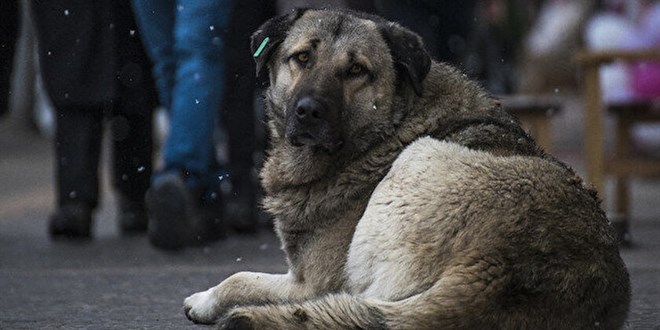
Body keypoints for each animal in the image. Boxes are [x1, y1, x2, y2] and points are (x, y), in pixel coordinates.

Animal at [183, 8, 632, 330]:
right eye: (302, 58)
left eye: (356, 70)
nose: (308, 111)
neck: (389, 127)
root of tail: (496, 264)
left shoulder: (310, 281)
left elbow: (239, 278)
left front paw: (204, 300)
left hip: (417, 159)